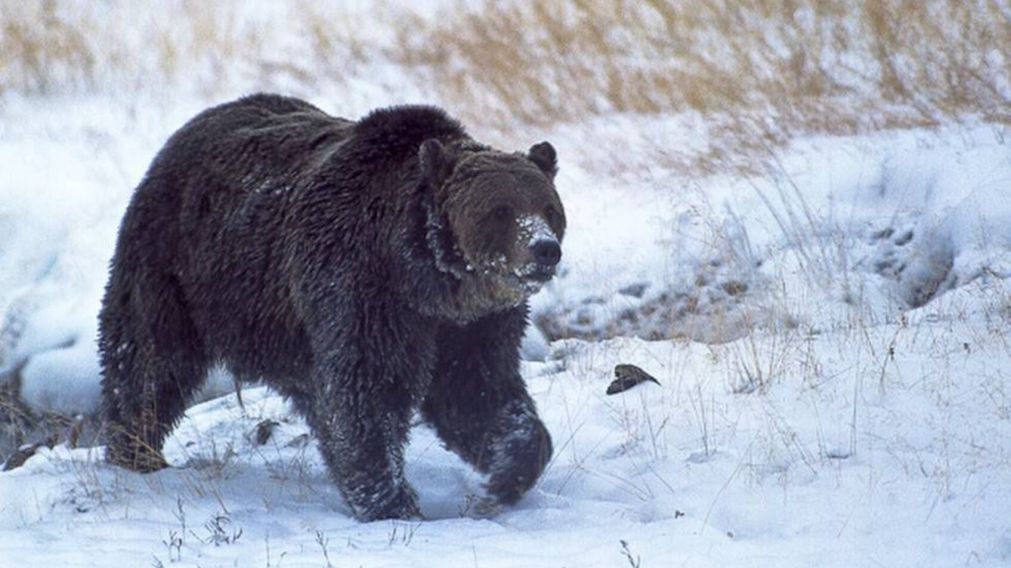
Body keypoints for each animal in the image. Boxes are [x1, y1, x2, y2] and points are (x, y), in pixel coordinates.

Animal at [97, 93, 565, 521]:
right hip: (178, 268)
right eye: (500, 211)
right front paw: (392, 502)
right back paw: (136, 451)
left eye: (549, 208)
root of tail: (189, 128)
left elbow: (478, 391)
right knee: (149, 359)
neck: (429, 284)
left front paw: (505, 475)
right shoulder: (361, 289)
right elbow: (367, 391)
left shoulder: (474, 325)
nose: (544, 248)